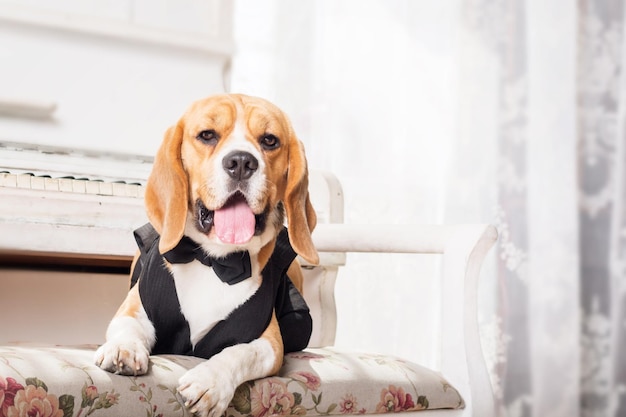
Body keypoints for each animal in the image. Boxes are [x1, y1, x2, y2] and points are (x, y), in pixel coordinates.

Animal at [95, 94, 320, 416]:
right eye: (207, 135)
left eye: (269, 140)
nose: (241, 162)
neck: (214, 260)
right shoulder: (133, 308)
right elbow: (128, 327)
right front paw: (123, 348)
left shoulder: (269, 343)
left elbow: (240, 352)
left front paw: (210, 382)